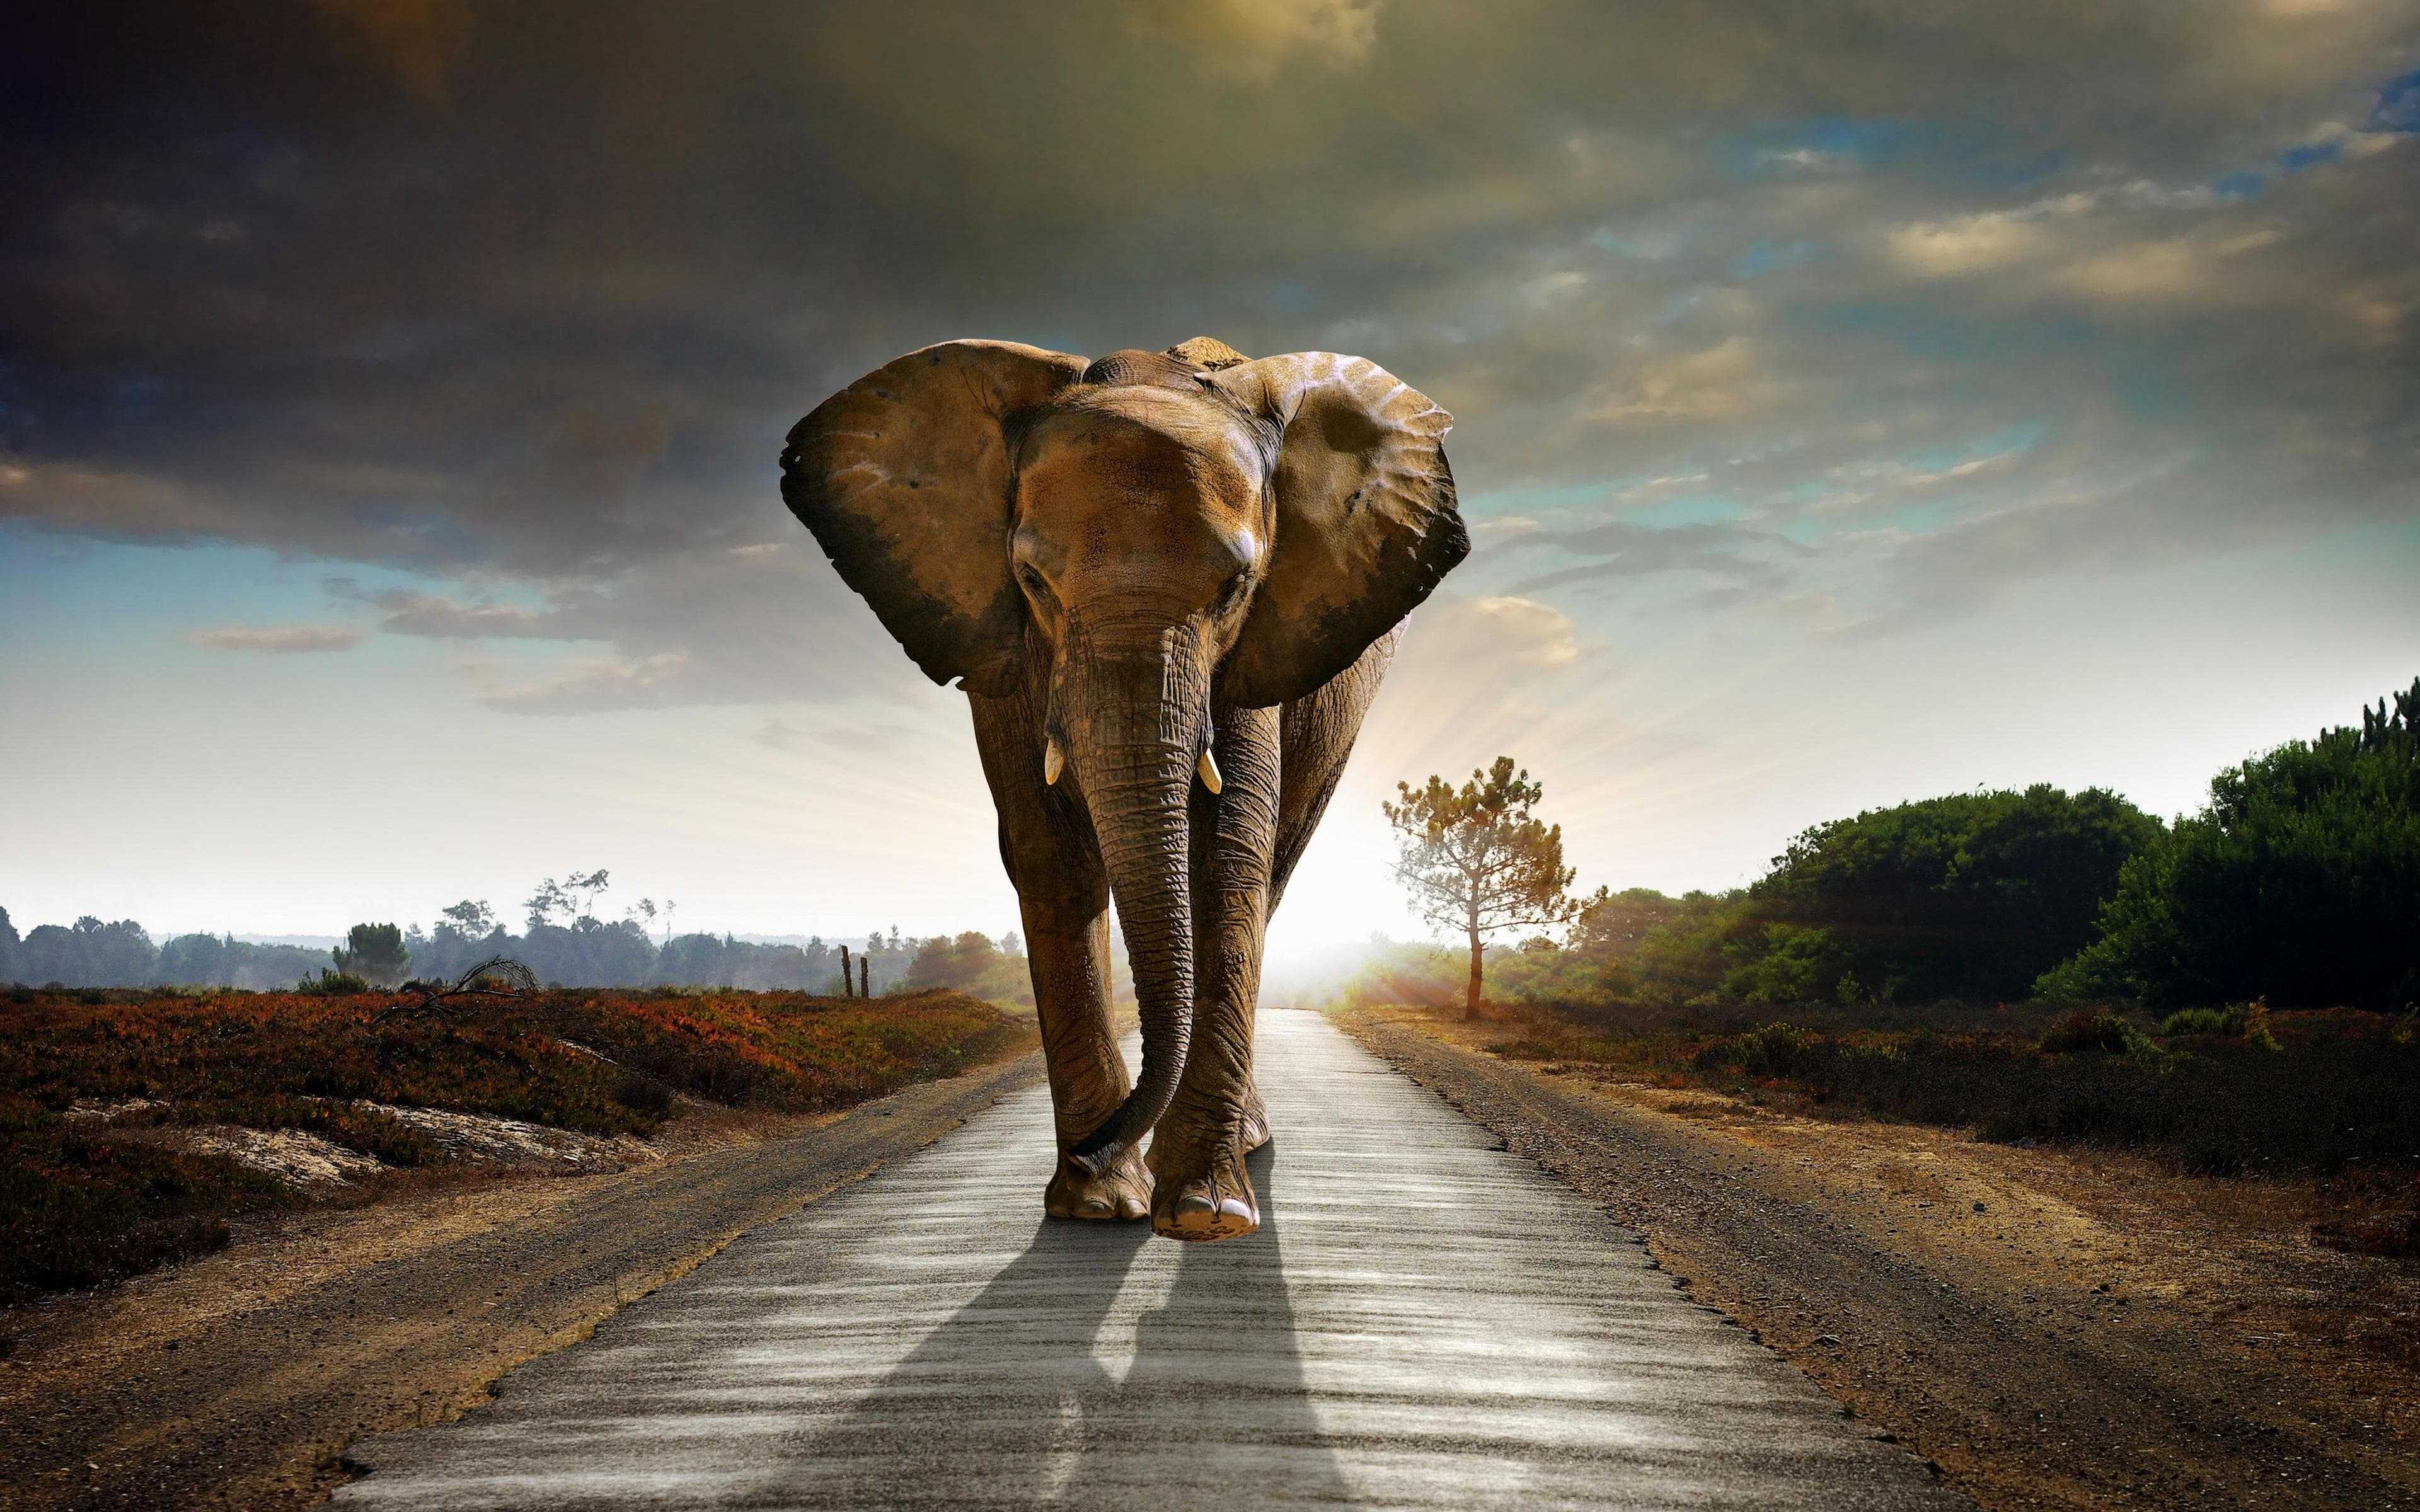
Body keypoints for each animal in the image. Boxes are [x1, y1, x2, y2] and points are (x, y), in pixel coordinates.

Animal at [781, 335, 1466, 1241]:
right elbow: (1050, 853)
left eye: (1236, 588)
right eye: (1033, 581)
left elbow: (1226, 853)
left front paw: (1204, 1213)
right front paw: (1098, 1205)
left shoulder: (1255, 651)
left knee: (1275, 868)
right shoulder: (1003, 648)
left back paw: (1241, 1146)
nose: (1092, 1148)